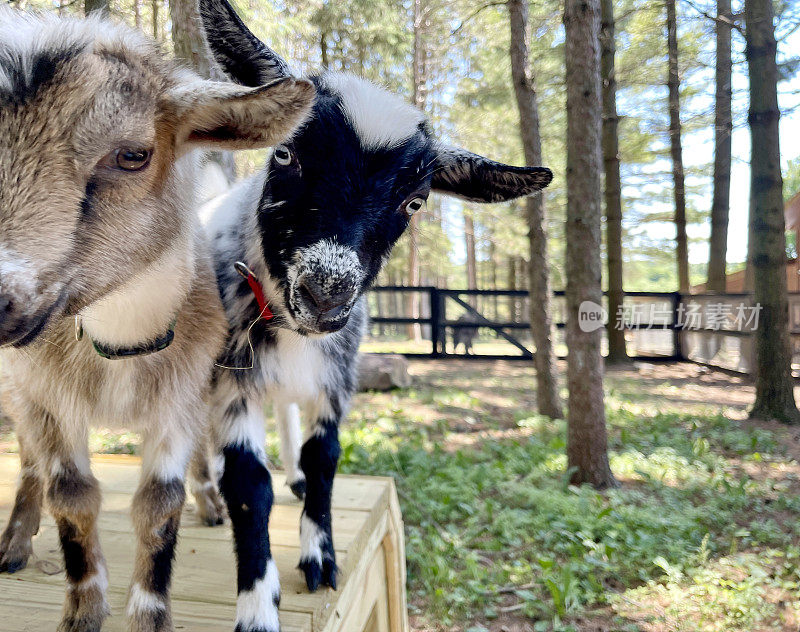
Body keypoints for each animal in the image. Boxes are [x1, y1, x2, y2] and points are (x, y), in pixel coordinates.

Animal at [0, 9, 312, 632]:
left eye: (133, 155)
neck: (120, 347)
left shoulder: (180, 394)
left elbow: (158, 504)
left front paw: (148, 612)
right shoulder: (46, 393)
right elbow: (70, 493)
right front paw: (83, 610)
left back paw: (211, 502)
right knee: (27, 460)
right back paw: (15, 541)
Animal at [193, 1, 552, 632]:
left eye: (415, 201)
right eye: (285, 153)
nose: (326, 295)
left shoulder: (336, 379)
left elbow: (324, 461)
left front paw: (319, 557)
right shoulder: (231, 384)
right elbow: (248, 487)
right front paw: (257, 605)